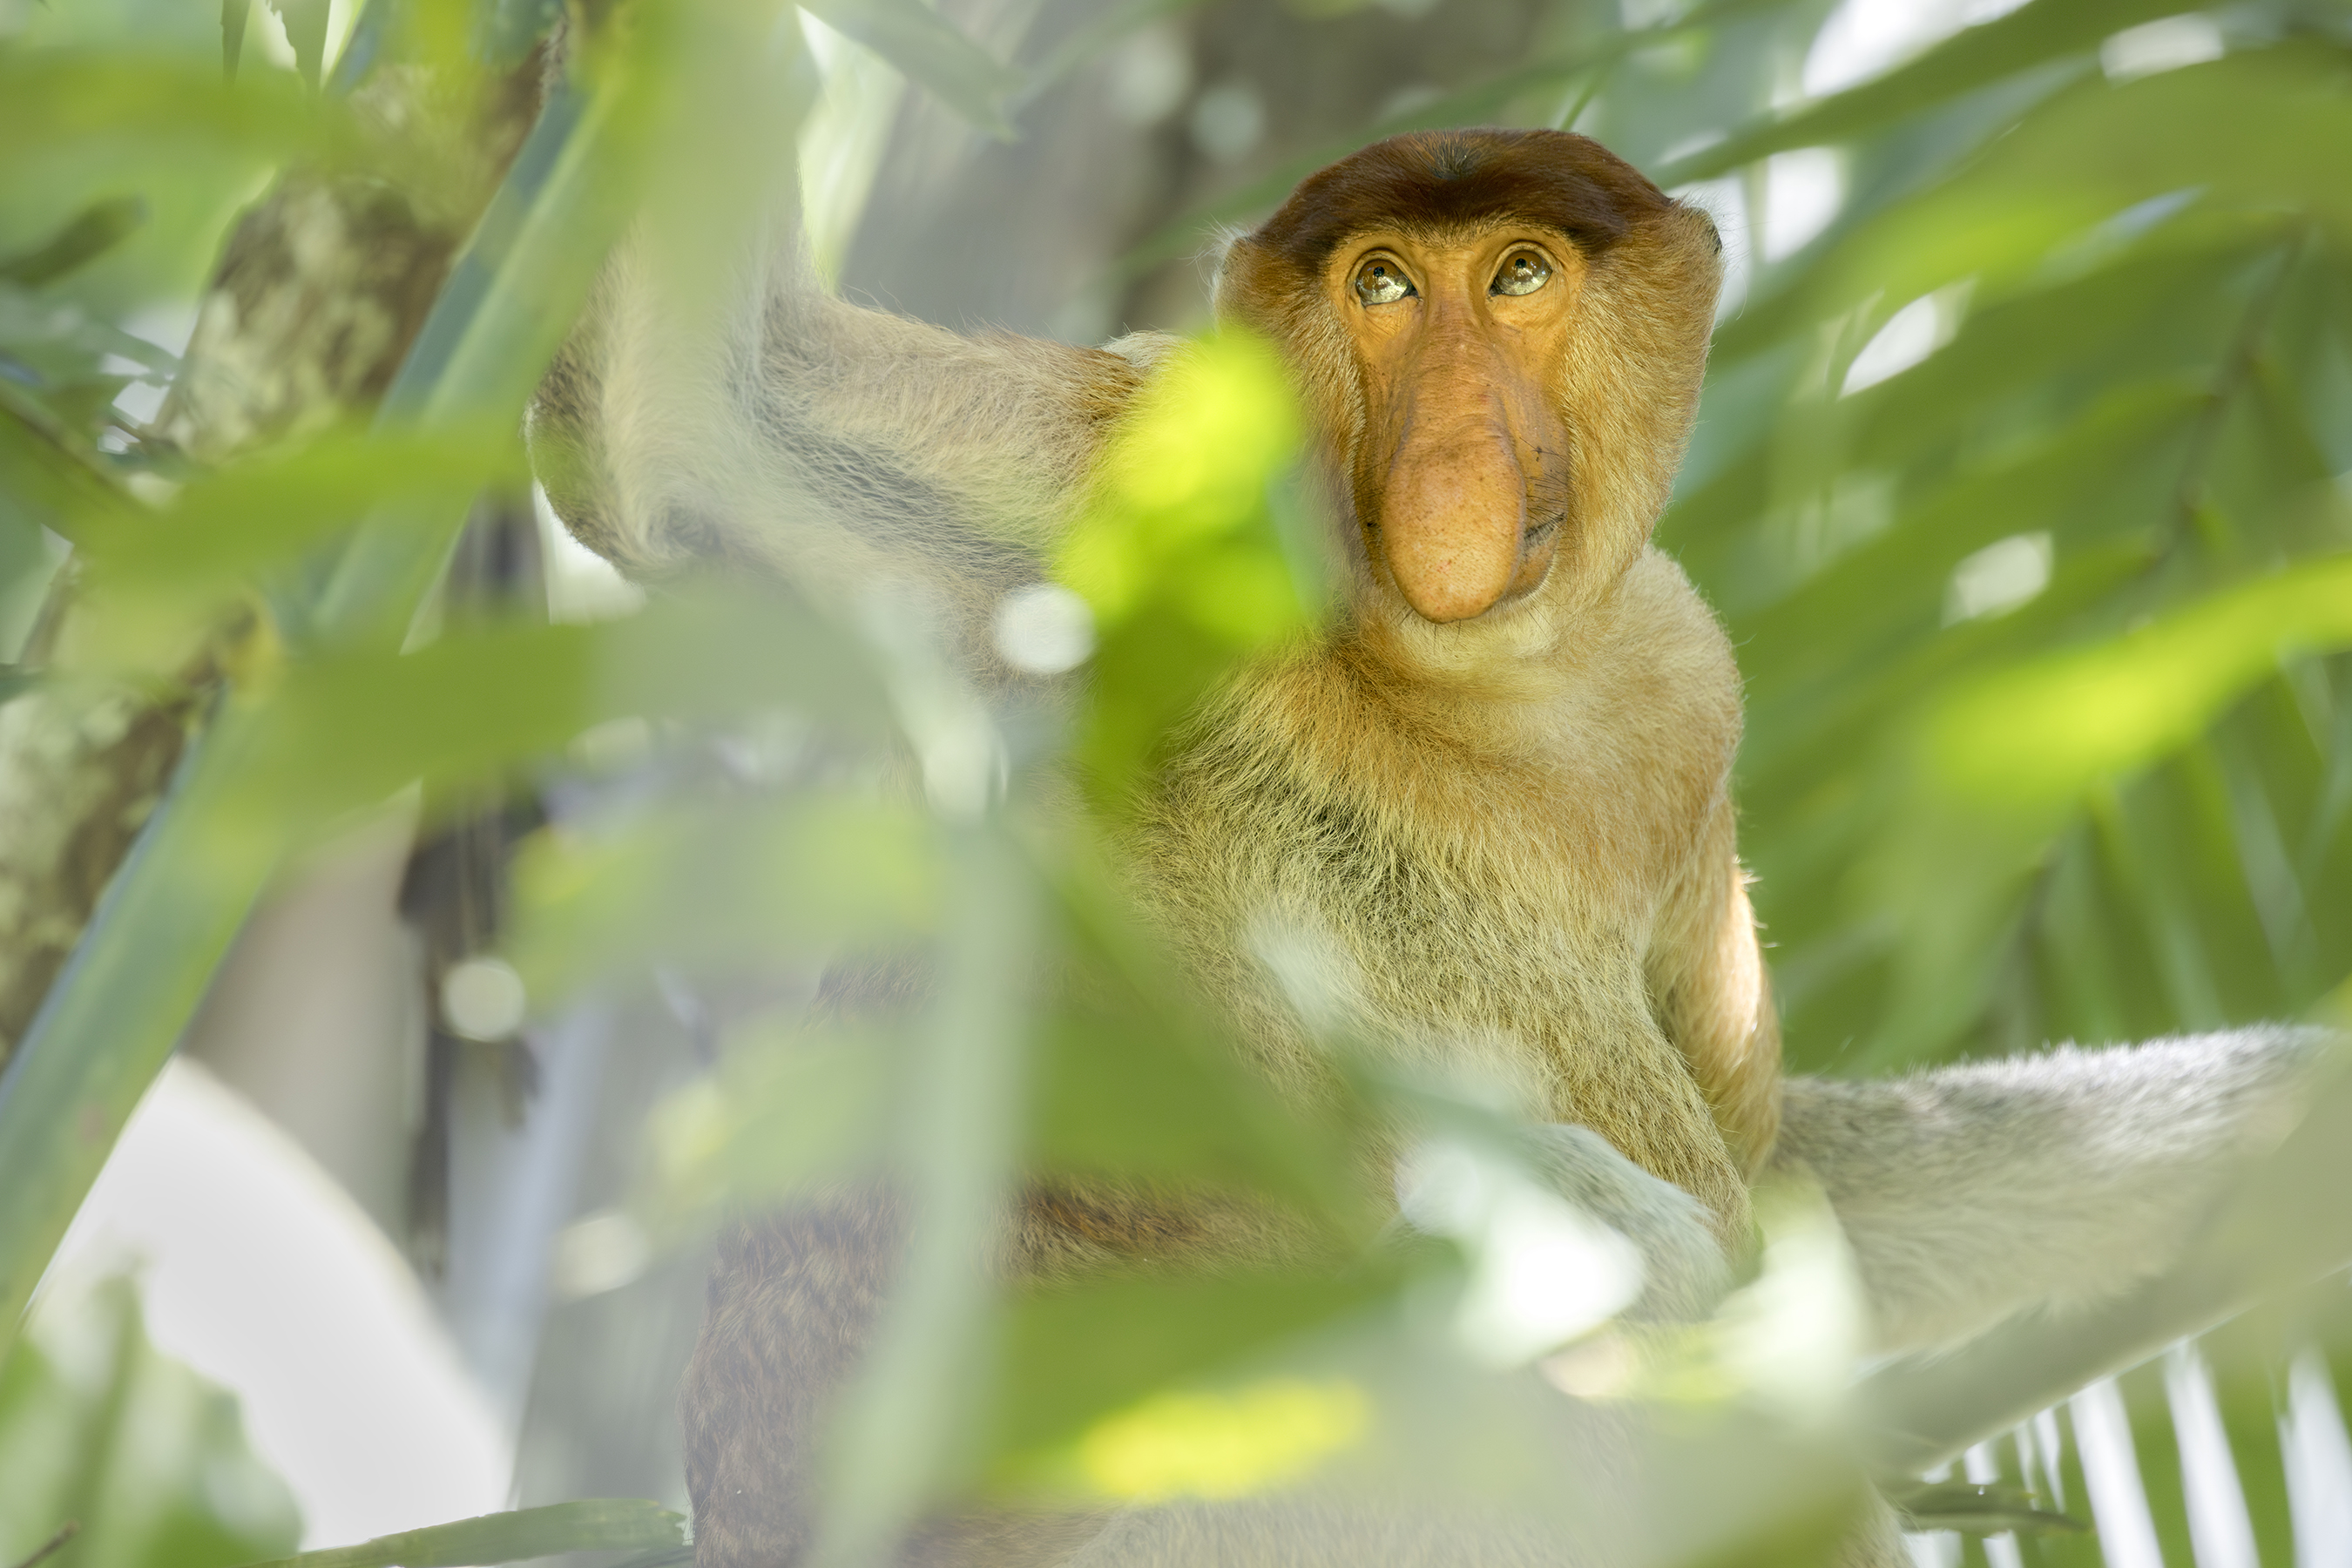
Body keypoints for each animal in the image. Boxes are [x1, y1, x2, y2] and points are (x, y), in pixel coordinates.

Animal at [527, 123, 2332, 1566]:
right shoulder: (1130, 457)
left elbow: (1788, 1190)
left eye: (1520, 277)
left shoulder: (1686, 695)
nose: (1452, 456)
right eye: (1383, 288)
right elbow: (697, 419)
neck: (1471, 690)